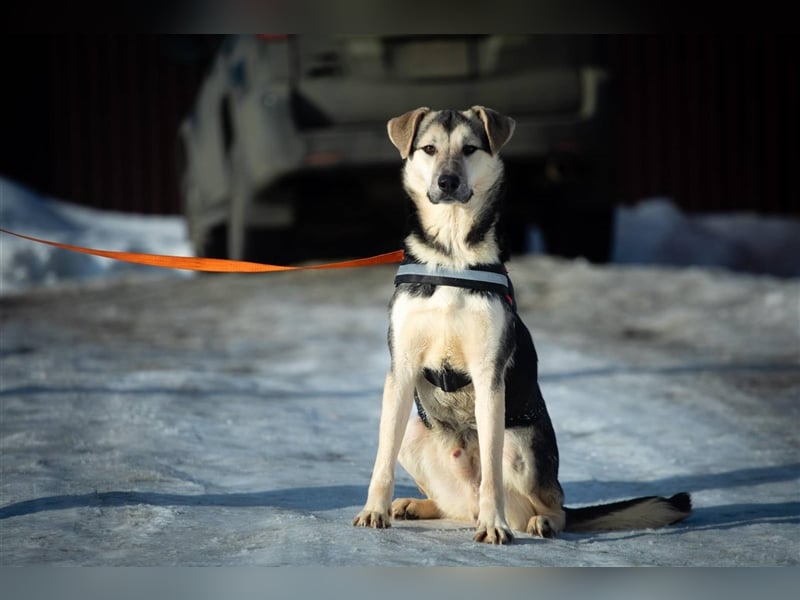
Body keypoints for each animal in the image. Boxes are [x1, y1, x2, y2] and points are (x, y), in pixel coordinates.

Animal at [354, 108, 692, 544]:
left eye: (469, 149)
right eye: (429, 149)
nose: (447, 182)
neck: (451, 256)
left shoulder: (489, 375)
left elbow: (491, 474)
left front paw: (493, 526)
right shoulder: (402, 369)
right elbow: (382, 459)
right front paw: (373, 511)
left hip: (521, 445)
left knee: (547, 503)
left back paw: (537, 521)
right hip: (416, 433)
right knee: (453, 503)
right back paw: (417, 505)